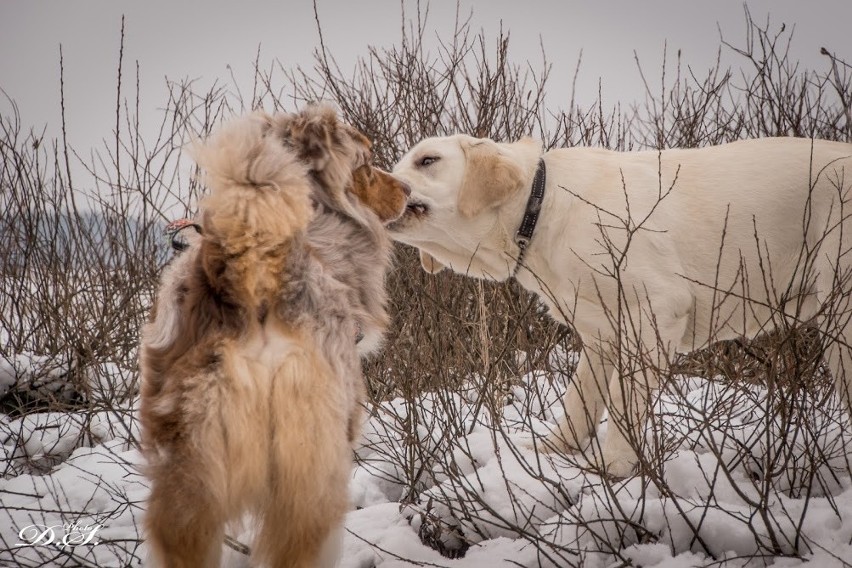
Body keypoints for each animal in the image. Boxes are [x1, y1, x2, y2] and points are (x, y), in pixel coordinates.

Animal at [392, 135, 852, 478]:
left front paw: (612, 466)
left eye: (428, 160)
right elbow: (580, 399)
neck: (540, 209)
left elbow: (623, 402)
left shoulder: (655, 313)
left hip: (840, 312)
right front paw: (555, 450)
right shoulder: (600, 334)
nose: (378, 178)